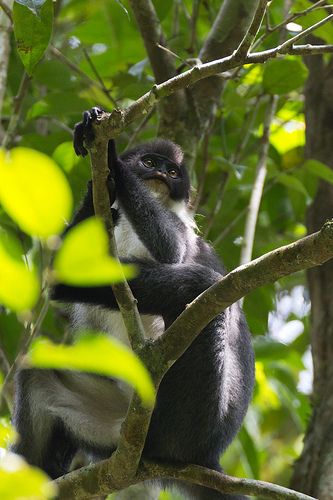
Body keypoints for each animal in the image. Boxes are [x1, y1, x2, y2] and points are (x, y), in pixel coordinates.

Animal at [11, 107, 253, 498]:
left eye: (173, 172)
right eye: (150, 163)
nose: (160, 175)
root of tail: (207, 458)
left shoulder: (183, 229)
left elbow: (173, 252)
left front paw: (110, 159)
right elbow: (70, 270)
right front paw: (99, 175)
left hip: (190, 420)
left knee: (201, 286)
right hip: (113, 424)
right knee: (36, 371)